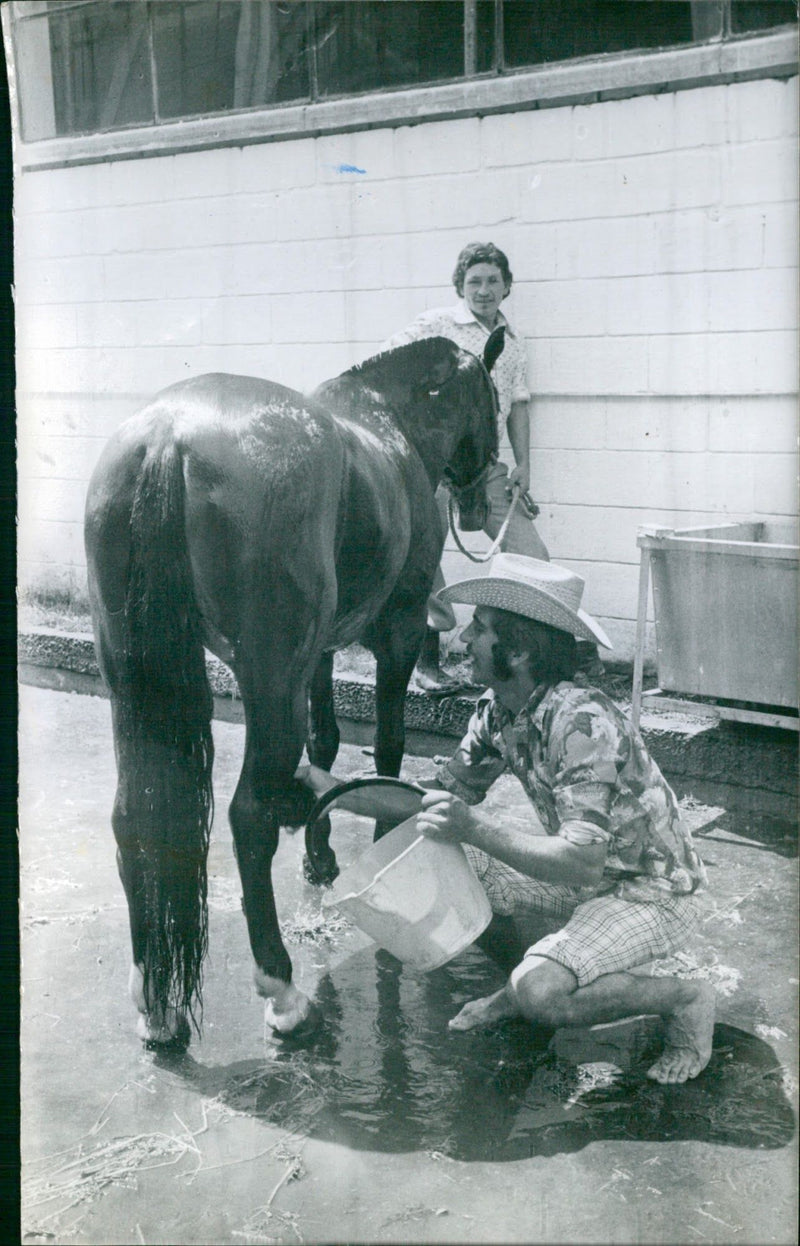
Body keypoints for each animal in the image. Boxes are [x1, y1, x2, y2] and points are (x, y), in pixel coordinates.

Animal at [84, 333, 500, 1051]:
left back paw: (156, 1006)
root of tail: (169, 434)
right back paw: (283, 993)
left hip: (140, 675)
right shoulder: (397, 633)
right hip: (270, 672)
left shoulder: (323, 652)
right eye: (495, 402)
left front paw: (321, 854)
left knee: (132, 816)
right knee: (249, 815)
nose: (482, 499)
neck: (391, 421)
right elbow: (386, 746)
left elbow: (326, 743)